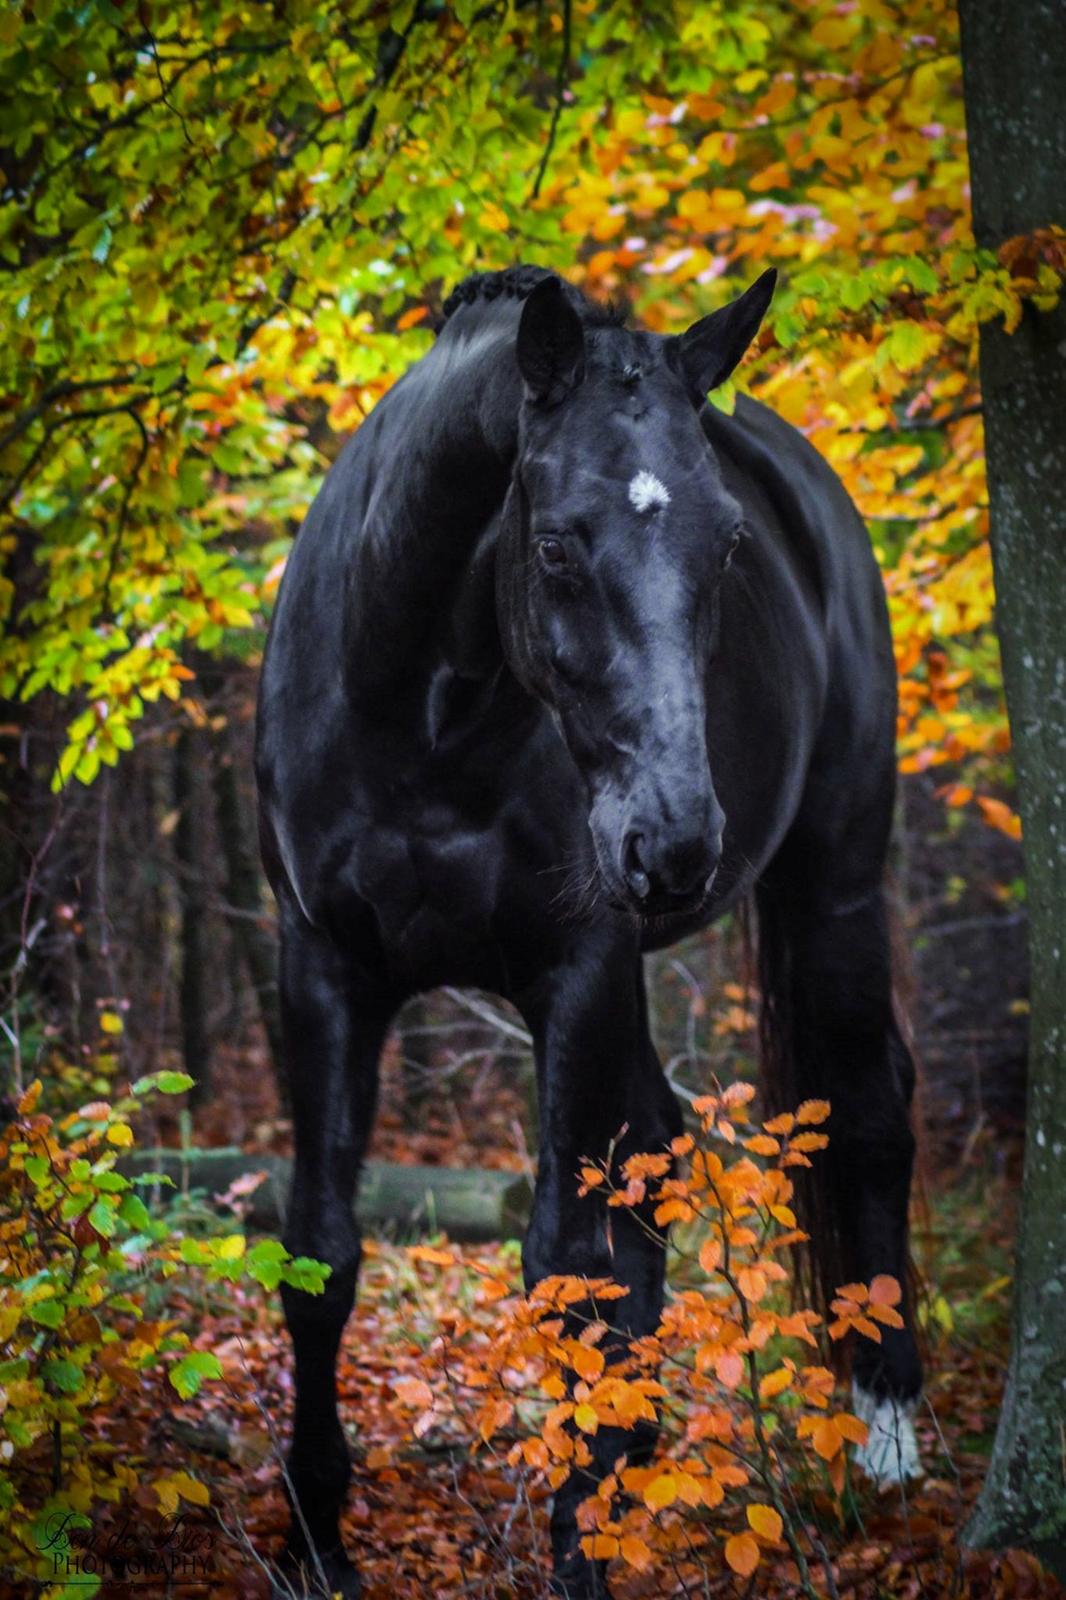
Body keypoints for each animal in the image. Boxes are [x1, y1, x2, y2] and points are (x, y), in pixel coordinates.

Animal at [252, 265, 915, 1600]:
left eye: (726, 542)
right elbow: (322, 1254)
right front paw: (316, 1533)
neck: (422, 718)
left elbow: (570, 1265)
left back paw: (882, 1436)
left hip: (832, 891)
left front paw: (583, 1543)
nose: (674, 840)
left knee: (867, 1105)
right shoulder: (324, 969)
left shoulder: (580, 971)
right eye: (555, 541)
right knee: (662, 1142)